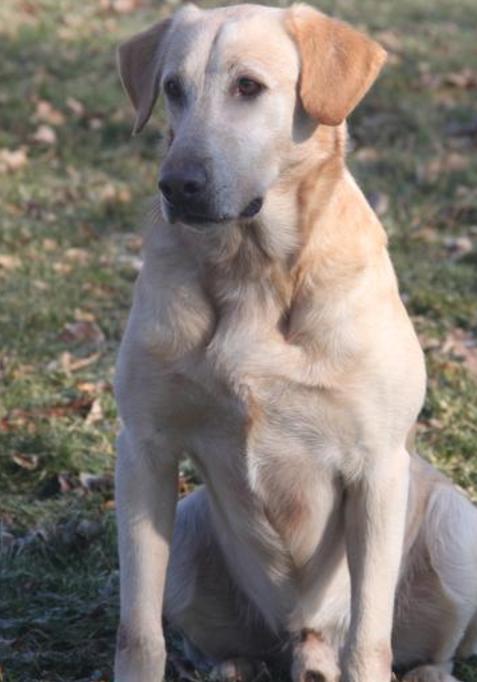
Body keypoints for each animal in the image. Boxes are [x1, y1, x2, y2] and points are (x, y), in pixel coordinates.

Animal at [112, 5, 476, 680]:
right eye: (172, 88)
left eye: (248, 87)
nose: (176, 185)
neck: (254, 271)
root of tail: (304, 636)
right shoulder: (143, 450)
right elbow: (138, 633)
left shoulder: (377, 467)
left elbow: (370, 640)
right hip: (191, 529)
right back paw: (233, 666)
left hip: (454, 526)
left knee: (425, 647)